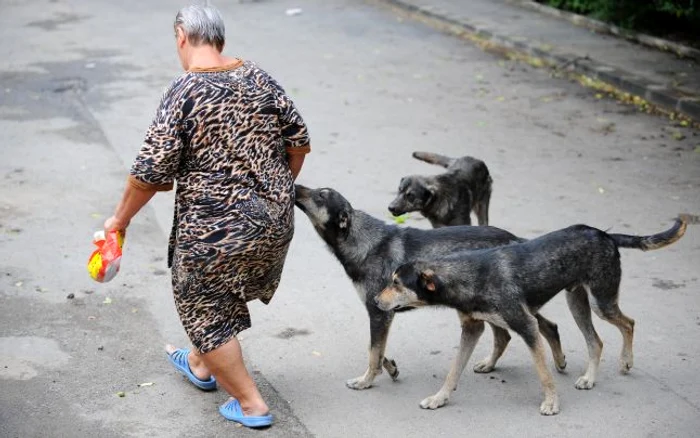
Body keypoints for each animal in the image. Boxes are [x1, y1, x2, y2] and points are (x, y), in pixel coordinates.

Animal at [292, 185, 568, 390]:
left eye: (320, 195)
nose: (296, 185)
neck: (365, 243)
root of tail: (516, 240)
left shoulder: (379, 312)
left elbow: (372, 352)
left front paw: (365, 381)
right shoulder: (383, 312)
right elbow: (378, 350)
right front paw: (389, 367)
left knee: (542, 327)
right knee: (515, 333)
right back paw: (494, 364)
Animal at [374, 218, 688, 414]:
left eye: (397, 283)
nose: (375, 301)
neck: (470, 276)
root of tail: (605, 234)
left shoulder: (527, 327)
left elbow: (544, 374)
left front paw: (552, 403)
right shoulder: (472, 329)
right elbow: (453, 370)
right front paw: (439, 398)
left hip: (602, 302)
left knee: (629, 323)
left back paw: (625, 361)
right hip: (577, 302)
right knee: (596, 341)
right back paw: (589, 378)